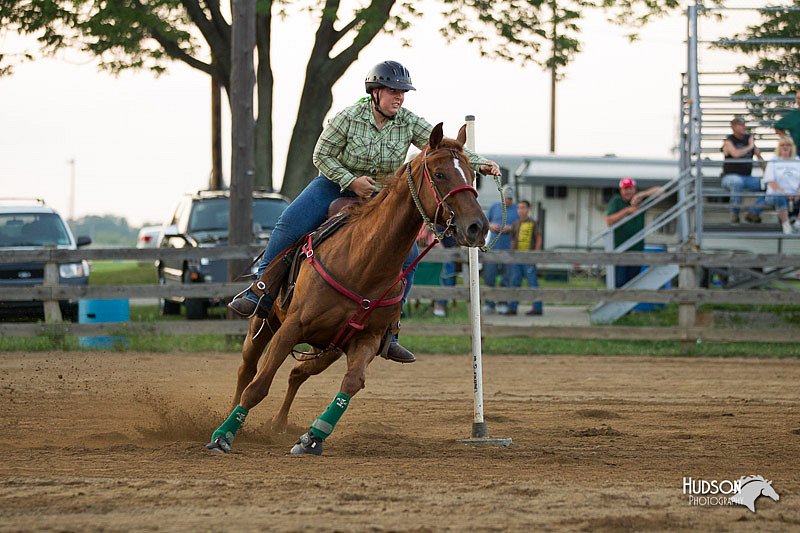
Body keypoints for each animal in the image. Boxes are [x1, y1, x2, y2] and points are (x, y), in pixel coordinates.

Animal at [206, 122, 488, 456]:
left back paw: (279, 425)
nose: (478, 227)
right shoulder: (291, 327)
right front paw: (223, 436)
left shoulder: (367, 338)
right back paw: (230, 416)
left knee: (297, 373)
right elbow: (258, 386)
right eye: (441, 174)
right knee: (247, 371)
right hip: (264, 324)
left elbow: (351, 383)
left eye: (472, 174)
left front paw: (313, 437)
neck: (362, 262)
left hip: (328, 348)